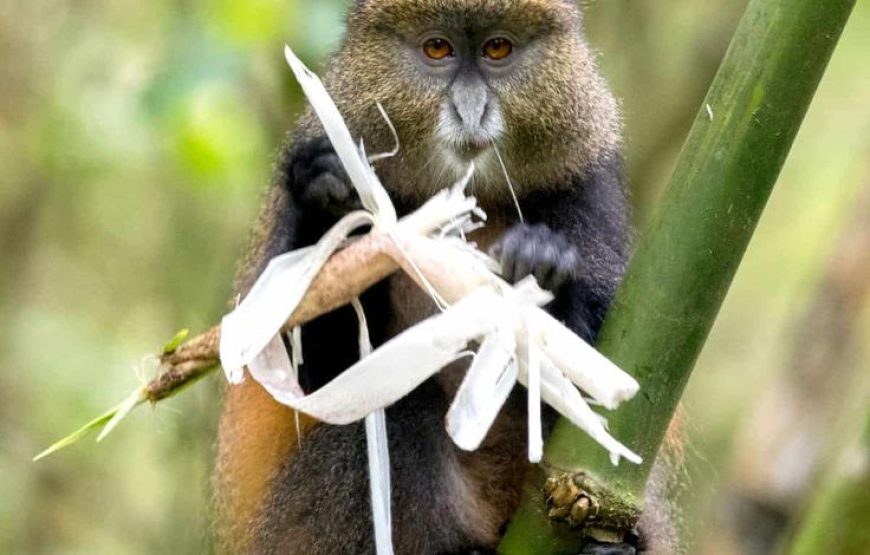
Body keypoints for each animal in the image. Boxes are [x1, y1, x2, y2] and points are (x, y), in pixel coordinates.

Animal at [216, 1, 679, 554]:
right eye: (438, 48)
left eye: (497, 49)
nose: (470, 110)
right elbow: (319, 374)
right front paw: (327, 195)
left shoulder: (588, 182)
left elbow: (610, 380)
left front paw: (541, 266)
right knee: (392, 397)